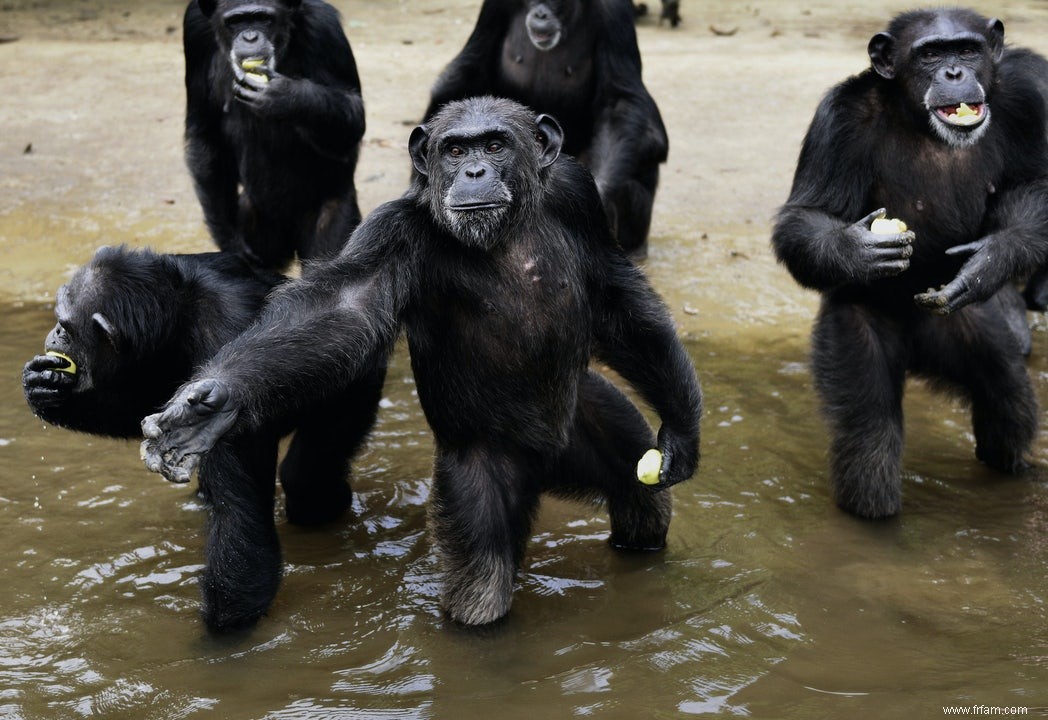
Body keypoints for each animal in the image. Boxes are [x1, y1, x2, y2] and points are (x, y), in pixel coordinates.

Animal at [22, 246, 385, 628]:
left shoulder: (222, 362)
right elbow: (147, 408)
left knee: (305, 480)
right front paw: (48, 391)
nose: (54, 333)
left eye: (66, 326)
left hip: (361, 378)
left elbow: (239, 509)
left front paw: (219, 637)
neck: (182, 313)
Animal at [137, 96, 695, 628]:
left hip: (593, 420)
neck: (506, 231)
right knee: (481, 582)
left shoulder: (579, 194)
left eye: (495, 145)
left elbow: (617, 294)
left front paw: (683, 430)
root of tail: (548, 467)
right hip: (477, 470)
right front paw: (213, 406)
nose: (474, 172)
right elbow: (344, 308)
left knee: (644, 503)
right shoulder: (391, 234)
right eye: (455, 149)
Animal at [186, 0, 366, 270]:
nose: (250, 37)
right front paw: (230, 242)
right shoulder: (194, 32)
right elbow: (204, 132)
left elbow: (353, 112)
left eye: (264, 18)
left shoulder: (325, 28)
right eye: (235, 21)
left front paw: (287, 96)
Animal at [771, 8, 1048, 521]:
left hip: (963, 325)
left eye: (967, 50)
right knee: (870, 436)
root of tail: (919, 353)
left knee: (1006, 397)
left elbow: (1034, 184)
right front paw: (855, 251)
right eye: (930, 54)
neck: (917, 120)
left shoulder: (1025, 100)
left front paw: (991, 260)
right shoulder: (837, 121)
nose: (953, 73)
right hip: (857, 332)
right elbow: (805, 216)